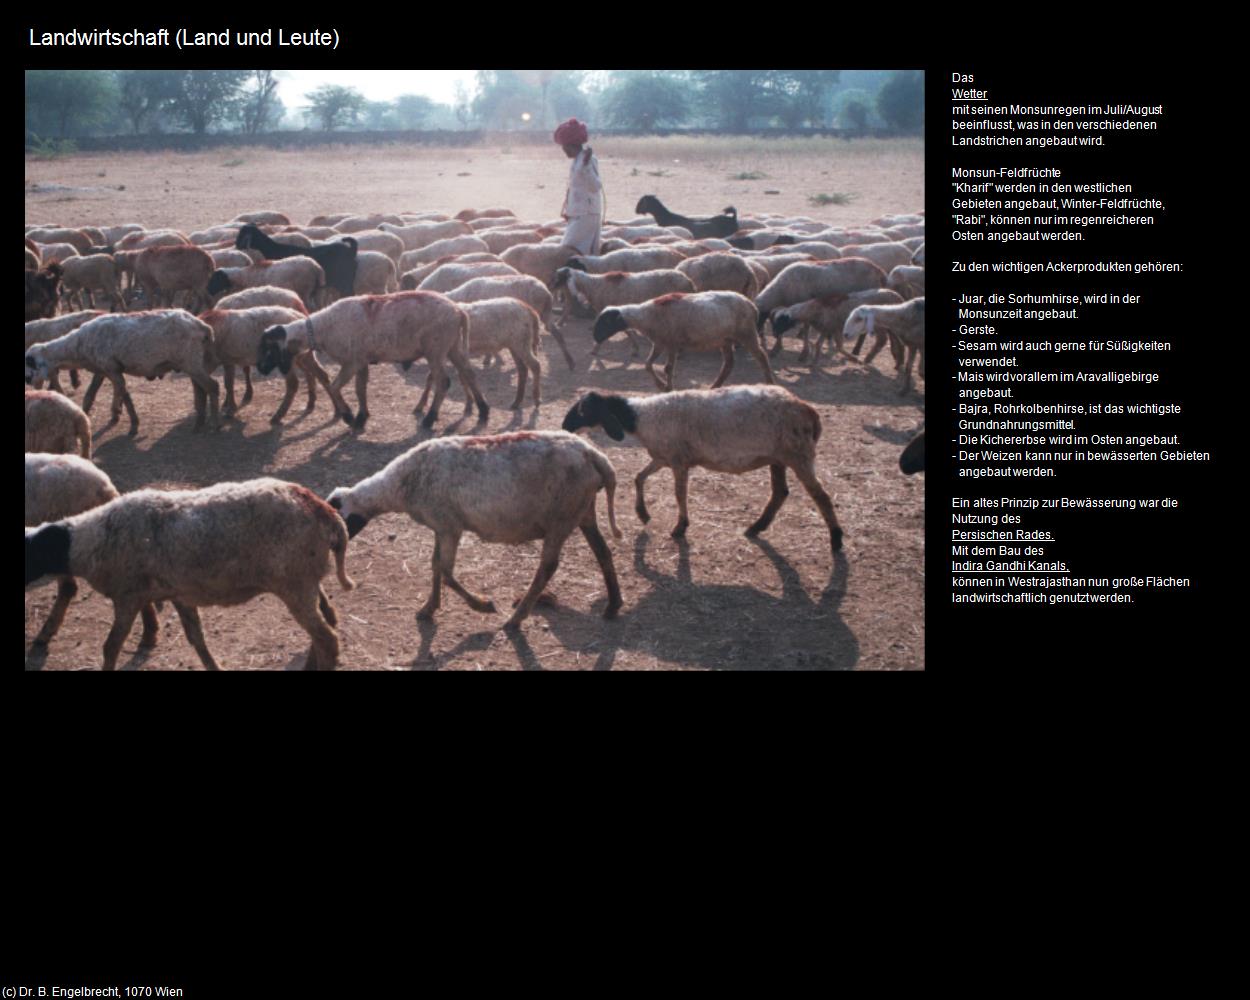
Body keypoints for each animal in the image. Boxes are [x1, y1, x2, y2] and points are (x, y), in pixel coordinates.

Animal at [25, 477, 357, 670]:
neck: (86, 542)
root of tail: (324, 511)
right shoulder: (177, 594)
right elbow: (197, 639)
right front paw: (214, 667)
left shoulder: (128, 597)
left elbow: (110, 646)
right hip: (304, 581)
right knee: (323, 632)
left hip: (295, 583)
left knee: (327, 639)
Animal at [327, 427, 620, 630]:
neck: (398, 487)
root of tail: (595, 455)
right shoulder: (441, 526)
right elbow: (435, 566)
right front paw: (429, 608)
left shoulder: (450, 526)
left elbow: (446, 572)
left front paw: (482, 604)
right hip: (583, 511)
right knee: (603, 553)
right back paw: (613, 606)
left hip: (561, 517)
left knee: (548, 567)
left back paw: (515, 618)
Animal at [565, 385, 840, 555]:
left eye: (582, 409)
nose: (565, 426)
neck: (641, 417)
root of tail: (809, 411)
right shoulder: (663, 457)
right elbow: (638, 478)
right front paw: (643, 514)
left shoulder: (678, 460)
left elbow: (679, 494)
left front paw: (680, 527)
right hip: (779, 457)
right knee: (780, 492)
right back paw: (755, 527)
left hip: (798, 454)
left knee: (821, 496)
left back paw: (836, 539)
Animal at [592, 288, 770, 390]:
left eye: (605, 322)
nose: (595, 336)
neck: (645, 316)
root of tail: (751, 305)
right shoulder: (661, 343)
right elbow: (648, 365)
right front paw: (662, 385)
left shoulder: (672, 343)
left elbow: (668, 368)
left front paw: (668, 387)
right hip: (725, 340)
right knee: (728, 364)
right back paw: (714, 386)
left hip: (747, 333)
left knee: (761, 357)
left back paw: (770, 381)